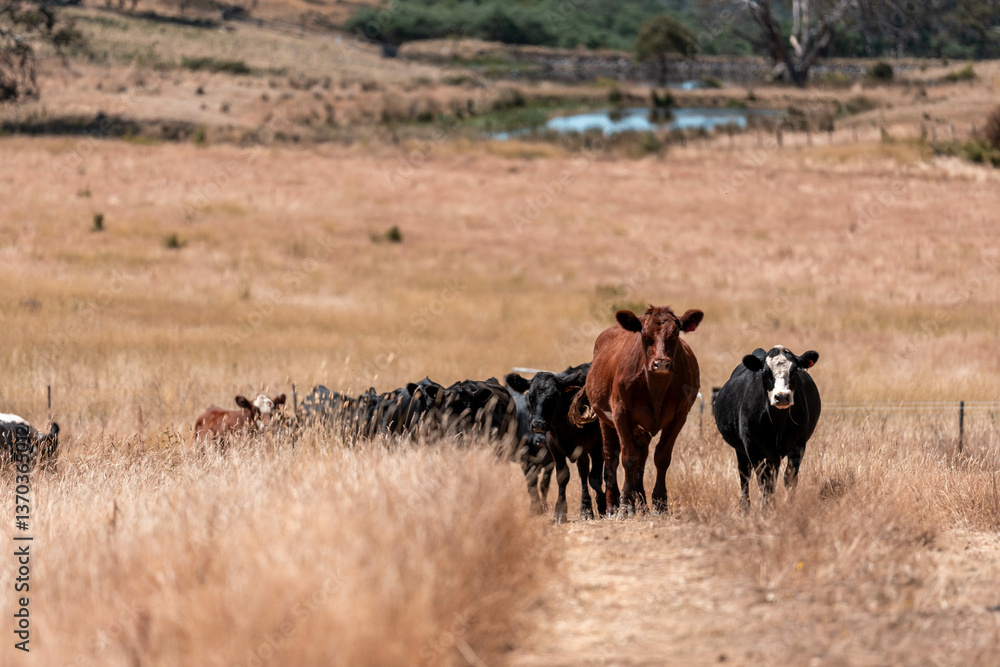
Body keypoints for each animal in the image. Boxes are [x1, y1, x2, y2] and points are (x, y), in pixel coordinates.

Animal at [506, 363, 605, 522]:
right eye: (531, 396)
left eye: (554, 396)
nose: (538, 425)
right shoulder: (554, 448)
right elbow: (562, 477)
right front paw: (560, 511)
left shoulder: (591, 447)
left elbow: (589, 476)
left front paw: (588, 509)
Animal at [583, 305, 703, 516]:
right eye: (645, 335)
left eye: (675, 333)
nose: (661, 363)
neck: (656, 387)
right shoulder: (621, 414)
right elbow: (628, 457)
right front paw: (624, 504)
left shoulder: (679, 416)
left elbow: (661, 456)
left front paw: (659, 502)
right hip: (605, 419)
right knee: (611, 455)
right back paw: (613, 505)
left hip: (641, 428)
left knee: (642, 458)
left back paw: (641, 504)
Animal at [713, 346, 821, 508]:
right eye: (765, 373)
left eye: (795, 371)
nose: (782, 397)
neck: (778, 424)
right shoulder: (752, 448)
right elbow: (763, 480)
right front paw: (766, 509)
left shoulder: (799, 444)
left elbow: (789, 477)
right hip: (742, 450)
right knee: (744, 474)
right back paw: (744, 507)